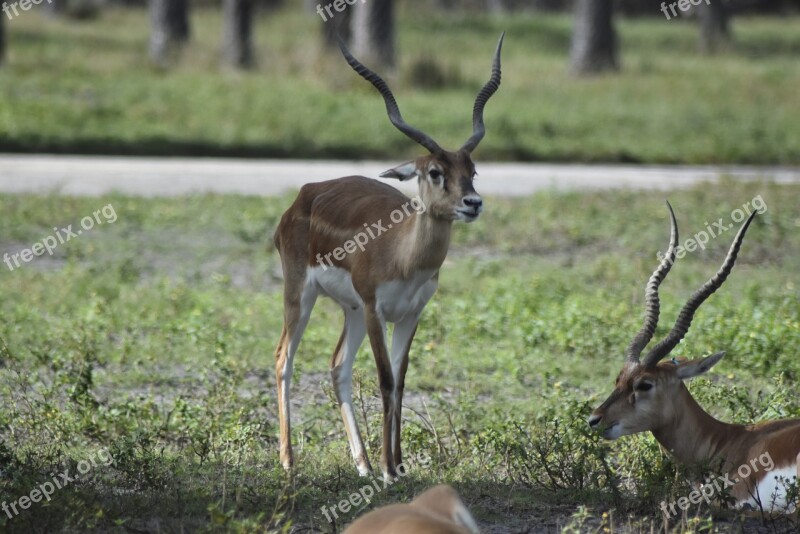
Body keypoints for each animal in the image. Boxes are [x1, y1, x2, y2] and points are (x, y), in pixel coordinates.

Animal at [272, 34, 504, 482]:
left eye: (472, 171)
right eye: (434, 171)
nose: (473, 203)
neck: (403, 256)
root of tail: (304, 195)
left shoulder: (410, 315)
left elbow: (400, 380)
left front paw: (396, 464)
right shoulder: (376, 309)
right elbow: (383, 379)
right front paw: (387, 470)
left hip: (350, 311)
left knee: (338, 366)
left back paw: (360, 462)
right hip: (302, 295)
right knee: (283, 359)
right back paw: (289, 461)